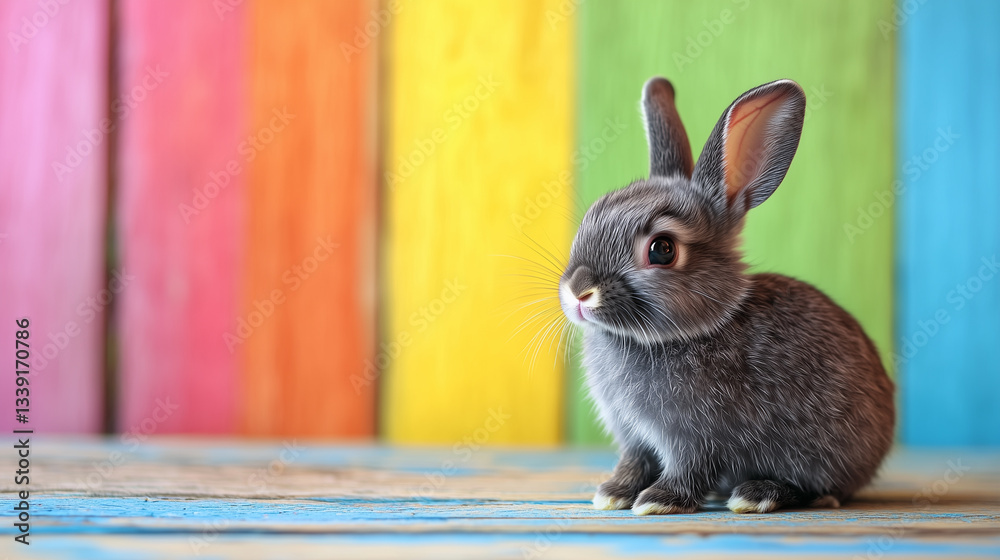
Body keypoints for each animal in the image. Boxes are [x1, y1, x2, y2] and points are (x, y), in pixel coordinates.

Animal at [559, 77, 895, 515]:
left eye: (662, 250)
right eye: (590, 217)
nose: (579, 291)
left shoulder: (695, 436)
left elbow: (689, 467)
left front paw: (658, 501)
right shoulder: (635, 436)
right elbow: (634, 461)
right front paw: (613, 493)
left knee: (821, 488)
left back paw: (757, 494)